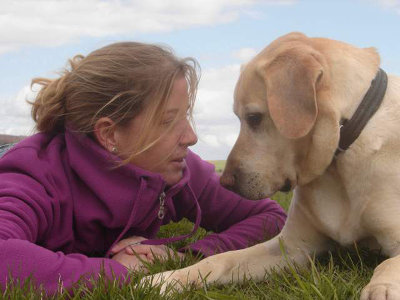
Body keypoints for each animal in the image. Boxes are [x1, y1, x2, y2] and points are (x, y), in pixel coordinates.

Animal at [149, 31, 400, 298]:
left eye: (254, 118)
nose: (225, 182)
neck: (338, 162)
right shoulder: (290, 248)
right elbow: (221, 259)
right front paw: (168, 278)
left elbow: (388, 263)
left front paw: (381, 288)